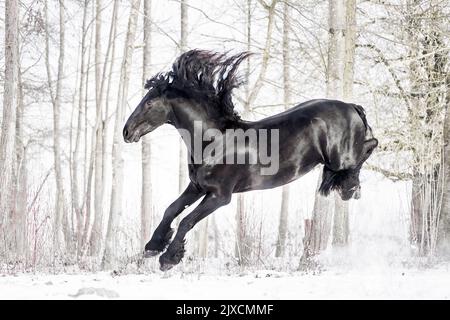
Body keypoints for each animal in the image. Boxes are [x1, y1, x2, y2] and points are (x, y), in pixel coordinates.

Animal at [122, 50, 376, 270]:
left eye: (149, 103)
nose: (126, 132)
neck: (213, 141)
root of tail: (351, 106)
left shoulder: (220, 196)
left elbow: (186, 220)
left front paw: (168, 259)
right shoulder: (197, 186)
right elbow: (172, 209)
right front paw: (152, 246)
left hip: (341, 157)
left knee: (369, 147)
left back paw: (349, 188)